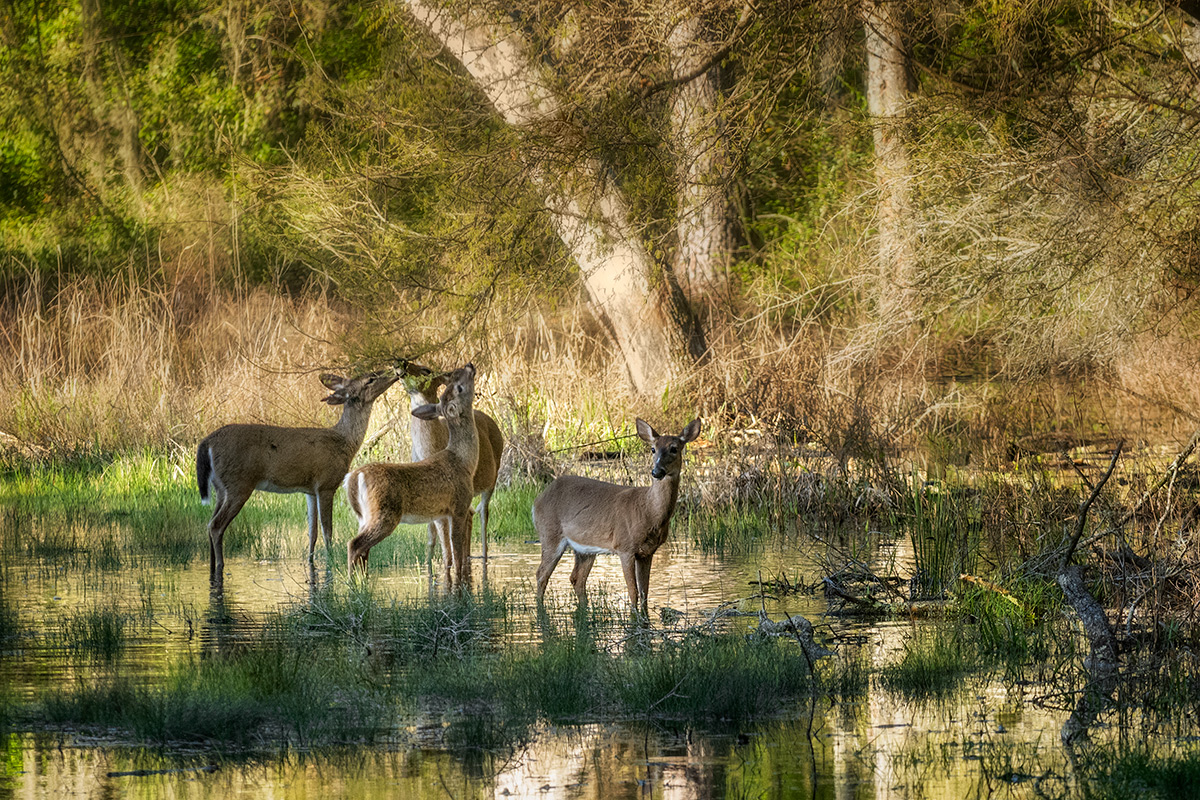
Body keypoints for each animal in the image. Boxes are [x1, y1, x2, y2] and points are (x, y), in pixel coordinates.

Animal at [196, 371, 398, 585]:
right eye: (370, 379)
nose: (395, 373)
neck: (345, 442)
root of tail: (207, 442)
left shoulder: (310, 490)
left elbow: (312, 532)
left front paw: (311, 564)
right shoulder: (326, 484)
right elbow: (327, 531)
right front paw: (331, 562)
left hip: (220, 487)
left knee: (209, 523)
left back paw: (211, 568)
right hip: (238, 484)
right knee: (216, 526)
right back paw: (220, 566)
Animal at [343, 362, 477, 582]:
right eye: (459, 388)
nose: (468, 365)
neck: (464, 461)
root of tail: (353, 477)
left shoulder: (444, 512)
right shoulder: (459, 506)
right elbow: (457, 556)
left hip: (363, 516)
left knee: (363, 550)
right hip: (384, 513)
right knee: (355, 544)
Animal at [398, 359, 501, 573]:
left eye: (426, 370)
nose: (400, 364)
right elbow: (434, 539)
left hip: (492, 480)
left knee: (483, 519)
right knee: (470, 518)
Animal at [535, 419, 700, 614]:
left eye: (674, 448)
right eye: (653, 449)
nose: (657, 472)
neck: (648, 511)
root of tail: (538, 500)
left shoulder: (647, 552)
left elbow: (645, 593)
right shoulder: (624, 546)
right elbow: (633, 592)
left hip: (585, 548)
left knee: (577, 578)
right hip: (550, 533)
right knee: (541, 574)